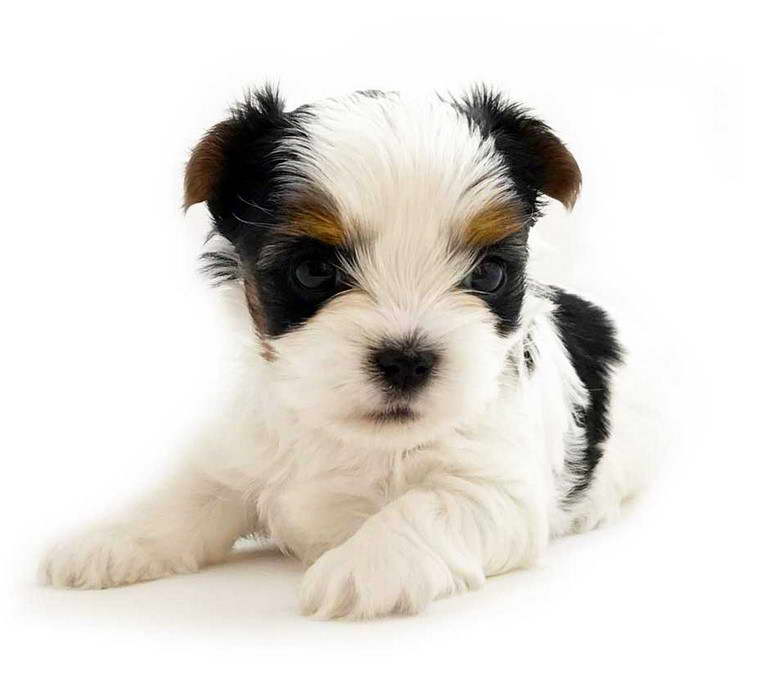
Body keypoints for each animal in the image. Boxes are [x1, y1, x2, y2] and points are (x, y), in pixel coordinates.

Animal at [38, 85, 648, 616]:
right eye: (312, 271)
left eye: (490, 274)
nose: (407, 359)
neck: (353, 435)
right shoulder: (239, 456)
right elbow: (184, 497)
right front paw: (107, 539)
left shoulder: (499, 488)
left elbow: (428, 504)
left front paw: (363, 567)